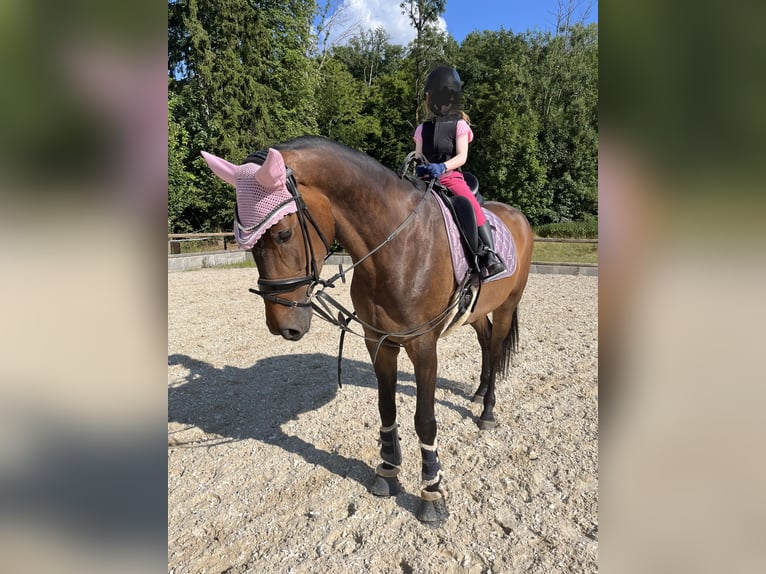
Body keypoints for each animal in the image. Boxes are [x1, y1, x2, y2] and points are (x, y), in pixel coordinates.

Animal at [201, 135, 533, 522]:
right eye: (247, 242)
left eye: (283, 234)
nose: (283, 325)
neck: (396, 248)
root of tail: (516, 215)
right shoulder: (379, 342)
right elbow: (386, 408)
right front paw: (388, 472)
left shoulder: (423, 346)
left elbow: (425, 420)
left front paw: (432, 493)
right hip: (476, 309)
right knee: (484, 339)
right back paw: (478, 393)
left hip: (508, 305)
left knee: (494, 349)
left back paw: (487, 410)